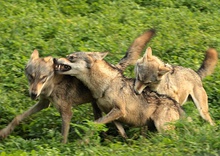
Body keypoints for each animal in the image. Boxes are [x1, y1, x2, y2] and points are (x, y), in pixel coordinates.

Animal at [0, 29, 156, 143]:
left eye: (43, 78)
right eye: (31, 77)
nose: (33, 94)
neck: (53, 85)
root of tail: (117, 67)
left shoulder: (67, 113)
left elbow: (63, 137)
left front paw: (62, 149)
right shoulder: (44, 103)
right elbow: (18, 117)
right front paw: (4, 132)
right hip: (99, 107)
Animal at [53, 51, 184, 133]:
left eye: (71, 57)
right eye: (67, 56)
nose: (54, 59)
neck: (106, 85)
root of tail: (176, 105)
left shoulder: (119, 110)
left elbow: (95, 124)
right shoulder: (112, 114)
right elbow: (120, 131)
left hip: (162, 129)